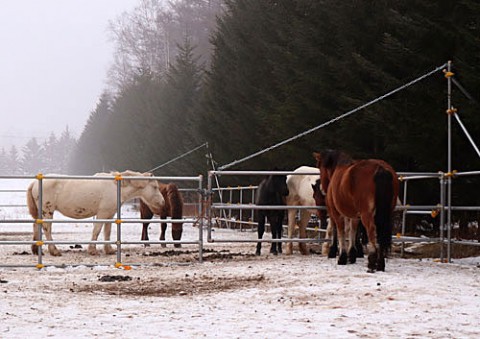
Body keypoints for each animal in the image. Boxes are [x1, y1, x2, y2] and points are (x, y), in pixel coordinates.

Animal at [26, 171, 166, 256]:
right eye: (155, 187)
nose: (163, 202)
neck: (116, 187)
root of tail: (34, 183)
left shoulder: (110, 215)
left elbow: (107, 232)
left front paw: (109, 250)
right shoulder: (102, 213)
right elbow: (97, 230)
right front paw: (92, 250)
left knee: (36, 226)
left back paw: (36, 250)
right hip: (47, 212)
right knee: (47, 229)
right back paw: (54, 250)